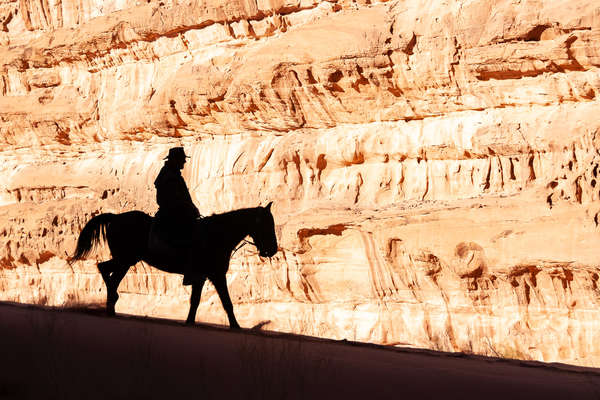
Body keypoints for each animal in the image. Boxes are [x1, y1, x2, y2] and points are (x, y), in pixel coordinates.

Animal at [71, 203, 278, 328]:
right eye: (266, 225)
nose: (272, 250)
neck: (216, 235)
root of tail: (115, 217)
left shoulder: (204, 276)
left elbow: (199, 301)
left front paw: (190, 322)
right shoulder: (215, 275)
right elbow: (225, 302)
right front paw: (236, 326)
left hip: (126, 260)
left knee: (105, 270)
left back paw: (111, 306)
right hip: (125, 260)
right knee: (107, 273)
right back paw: (112, 303)